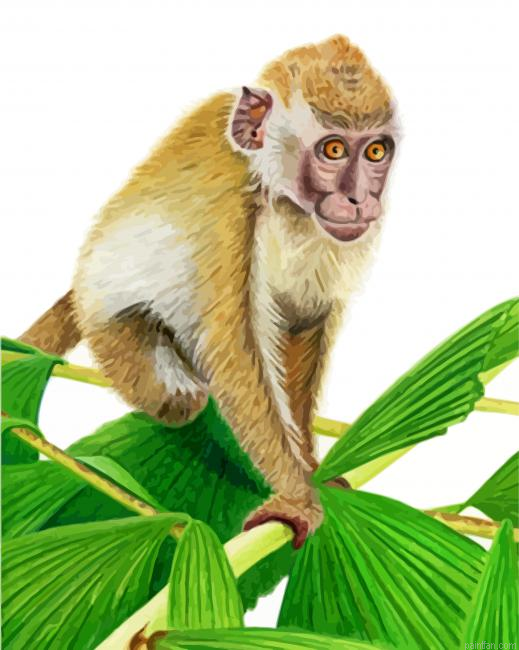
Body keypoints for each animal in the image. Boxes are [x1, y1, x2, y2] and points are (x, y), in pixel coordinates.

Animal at [21, 35, 397, 548]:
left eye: (376, 152)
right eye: (334, 149)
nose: (361, 199)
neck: (283, 201)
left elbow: (304, 323)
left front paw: (310, 466)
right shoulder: (229, 211)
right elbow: (235, 350)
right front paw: (297, 498)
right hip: (110, 330)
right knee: (181, 398)